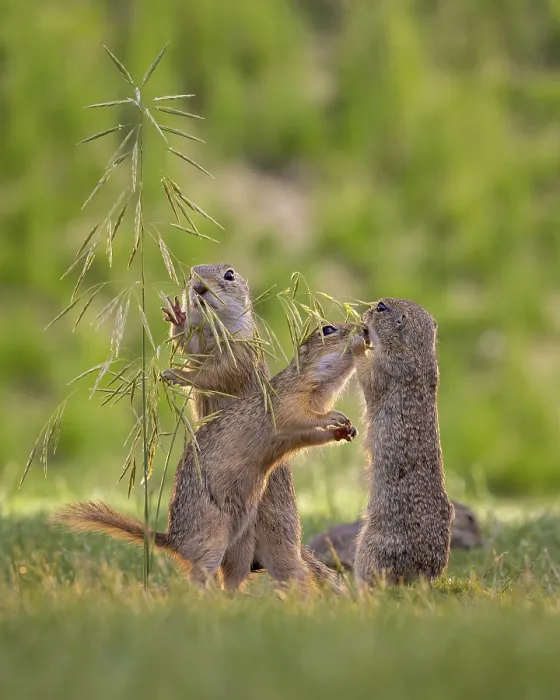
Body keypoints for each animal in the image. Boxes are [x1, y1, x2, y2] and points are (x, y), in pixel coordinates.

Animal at [52, 321, 359, 590]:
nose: (362, 329)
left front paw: (346, 430)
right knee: (200, 576)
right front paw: (335, 417)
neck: (318, 389)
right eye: (328, 329)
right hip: (213, 537)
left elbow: (313, 435)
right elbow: (303, 418)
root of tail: (174, 541)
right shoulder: (288, 407)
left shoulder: (299, 434)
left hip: (241, 546)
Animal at [160, 264, 349, 595]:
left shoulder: (239, 351)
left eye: (229, 274)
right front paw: (178, 316)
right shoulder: (201, 344)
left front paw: (178, 375)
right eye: (192, 273)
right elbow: (189, 347)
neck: (217, 328)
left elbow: (215, 373)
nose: (197, 287)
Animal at [351, 298, 454, 587]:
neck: (416, 351)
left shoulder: (386, 368)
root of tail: (424, 574)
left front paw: (357, 343)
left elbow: (368, 374)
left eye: (382, 307)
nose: (363, 314)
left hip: (369, 547)